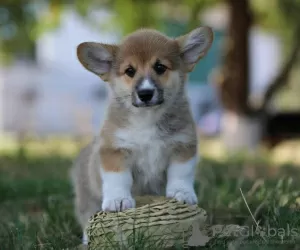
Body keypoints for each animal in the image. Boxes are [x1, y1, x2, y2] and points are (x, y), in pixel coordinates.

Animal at [71, 25, 213, 244]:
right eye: (130, 71)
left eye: (160, 67)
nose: (145, 94)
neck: (147, 118)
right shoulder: (115, 150)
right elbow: (118, 178)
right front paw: (119, 200)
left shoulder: (183, 145)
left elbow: (181, 173)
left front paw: (181, 193)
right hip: (88, 198)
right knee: (87, 217)